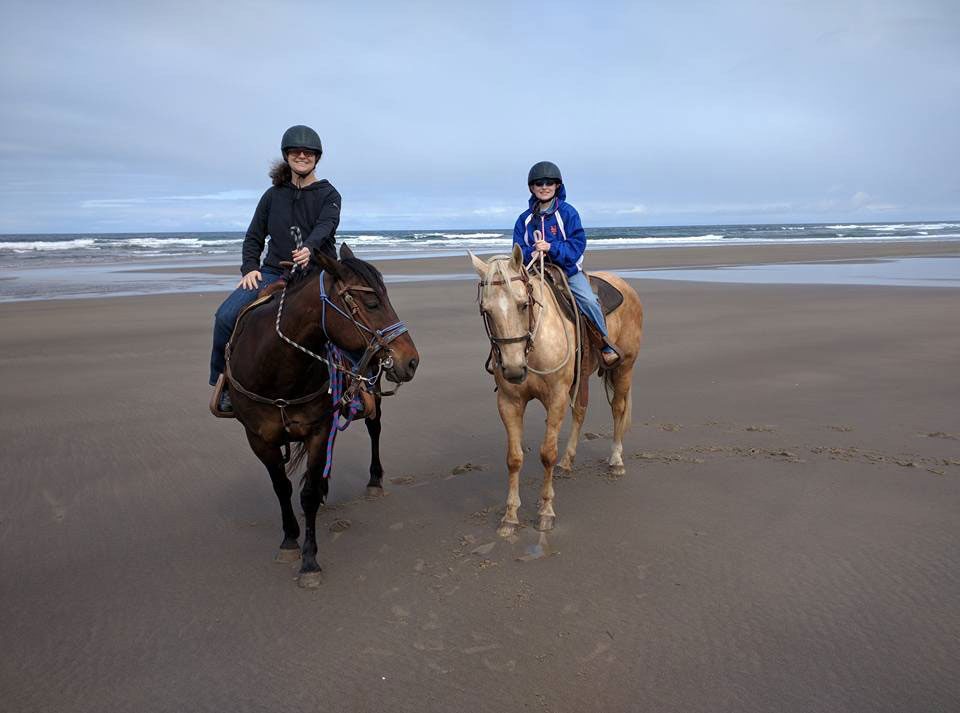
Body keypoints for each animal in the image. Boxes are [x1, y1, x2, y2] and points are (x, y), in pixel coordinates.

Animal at [229, 243, 420, 584]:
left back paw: (373, 481)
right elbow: (282, 487)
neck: (277, 369)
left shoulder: (317, 429)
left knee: (374, 428)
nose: (411, 360)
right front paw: (289, 541)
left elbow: (306, 494)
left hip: (371, 390)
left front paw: (309, 560)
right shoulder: (259, 438)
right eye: (372, 302)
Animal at [468, 245, 640, 536]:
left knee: (618, 408)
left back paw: (616, 460)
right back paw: (568, 461)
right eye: (486, 311)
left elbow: (547, 454)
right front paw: (510, 517)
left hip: (624, 368)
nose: (513, 369)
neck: (533, 345)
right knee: (580, 411)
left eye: (523, 304)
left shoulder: (557, 397)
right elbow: (514, 458)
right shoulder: (509, 402)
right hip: (582, 376)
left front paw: (546, 512)